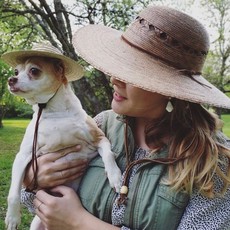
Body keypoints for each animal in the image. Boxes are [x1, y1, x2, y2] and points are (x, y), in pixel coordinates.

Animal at [3, 53, 122, 228]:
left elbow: (108, 154)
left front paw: (115, 177)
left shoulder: (99, 138)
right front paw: (12, 218)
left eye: (34, 70)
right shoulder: (23, 156)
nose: (11, 79)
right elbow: (13, 194)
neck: (54, 112)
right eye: (16, 71)